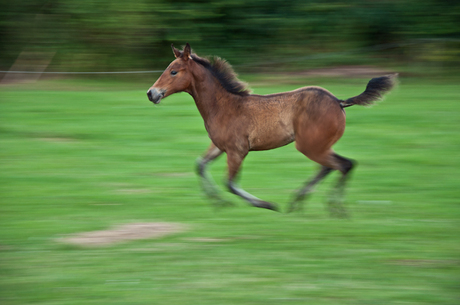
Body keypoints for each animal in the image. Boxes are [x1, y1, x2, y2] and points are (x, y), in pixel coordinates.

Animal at [146, 43, 396, 214]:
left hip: (310, 146)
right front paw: (218, 202)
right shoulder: (220, 146)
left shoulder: (237, 150)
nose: (151, 93)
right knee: (332, 167)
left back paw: (334, 208)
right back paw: (299, 202)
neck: (224, 105)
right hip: (319, 145)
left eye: (173, 71)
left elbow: (231, 183)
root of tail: (339, 101)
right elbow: (200, 165)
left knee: (343, 165)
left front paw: (267, 204)